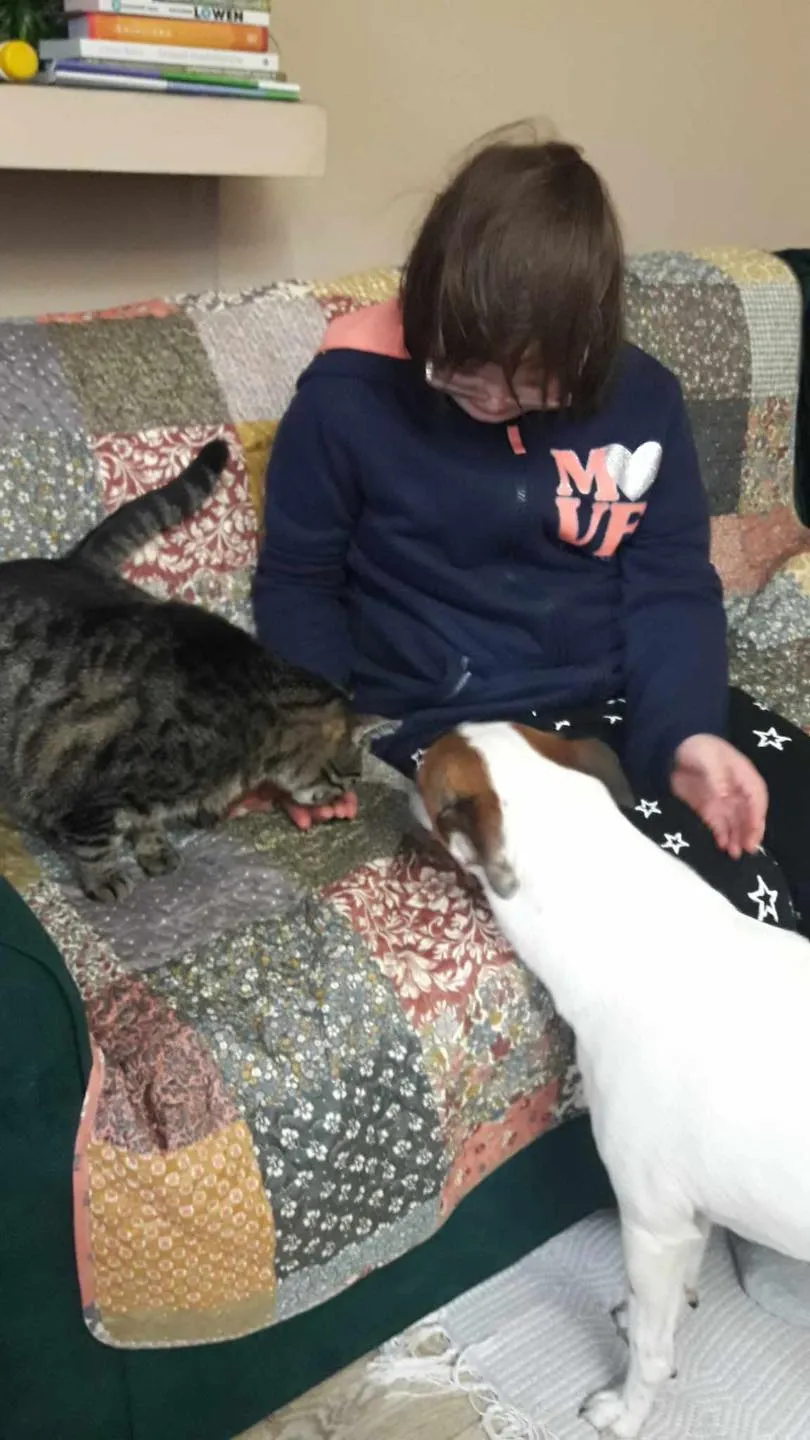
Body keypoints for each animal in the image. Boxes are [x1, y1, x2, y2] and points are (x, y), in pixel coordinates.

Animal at [0, 438, 394, 901]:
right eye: (349, 778)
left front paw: (154, 849)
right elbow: (96, 842)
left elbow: (146, 822)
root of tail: (74, 563)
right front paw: (105, 877)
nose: (347, 792)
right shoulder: (94, 788)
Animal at [414, 720, 810, 1438]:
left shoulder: (649, 1222)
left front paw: (626, 1411)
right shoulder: (684, 1216)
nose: (393, 773)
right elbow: (673, 1290)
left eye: (426, 778)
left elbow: (650, 1351)